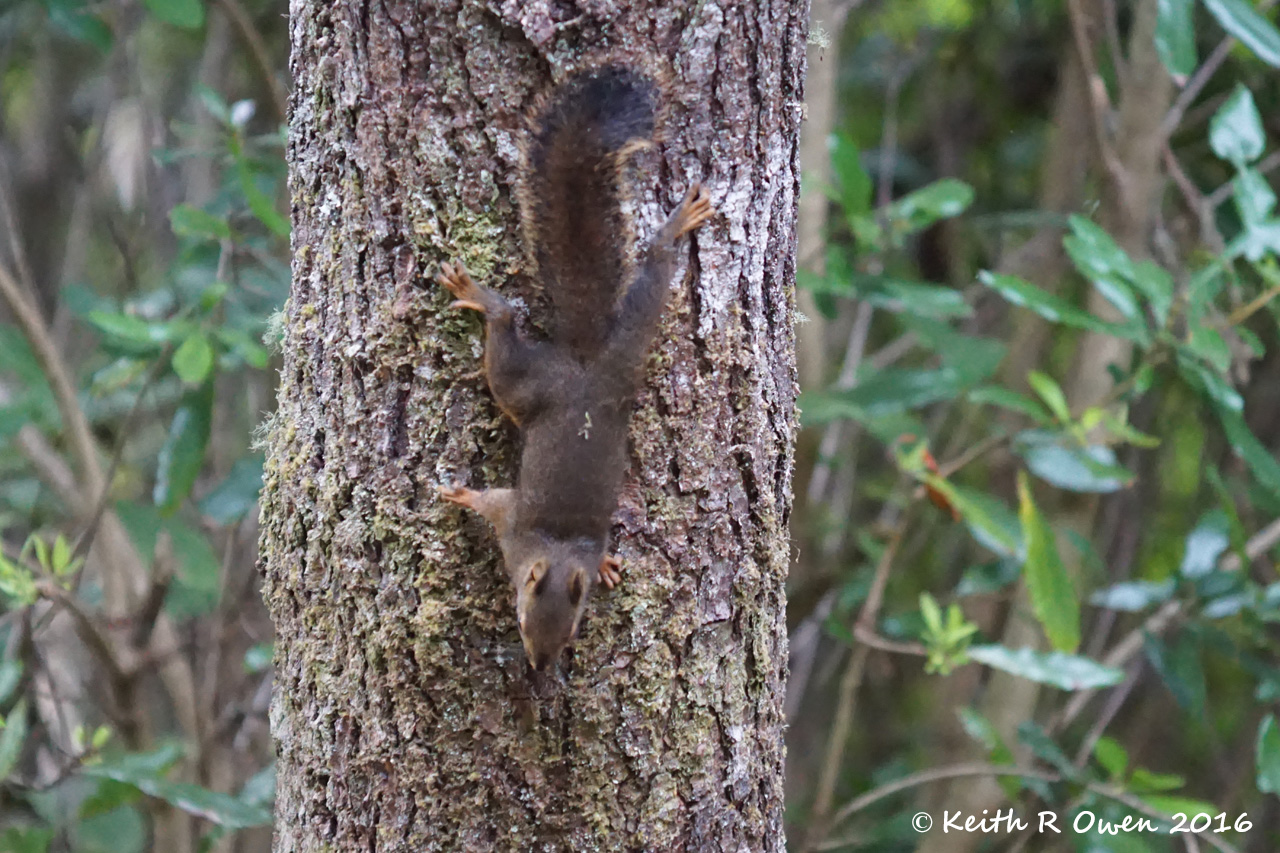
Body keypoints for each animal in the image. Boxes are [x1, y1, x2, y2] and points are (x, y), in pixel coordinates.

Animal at [437, 65, 713, 671]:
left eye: (570, 634)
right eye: (520, 621)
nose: (539, 668)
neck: (559, 549)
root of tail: (586, 362)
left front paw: (607, 566)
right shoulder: (514, 524)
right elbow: (492, 502)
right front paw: (461, 496)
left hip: (623, 349)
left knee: (651, 274)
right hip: (539, 378)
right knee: (509, 330)